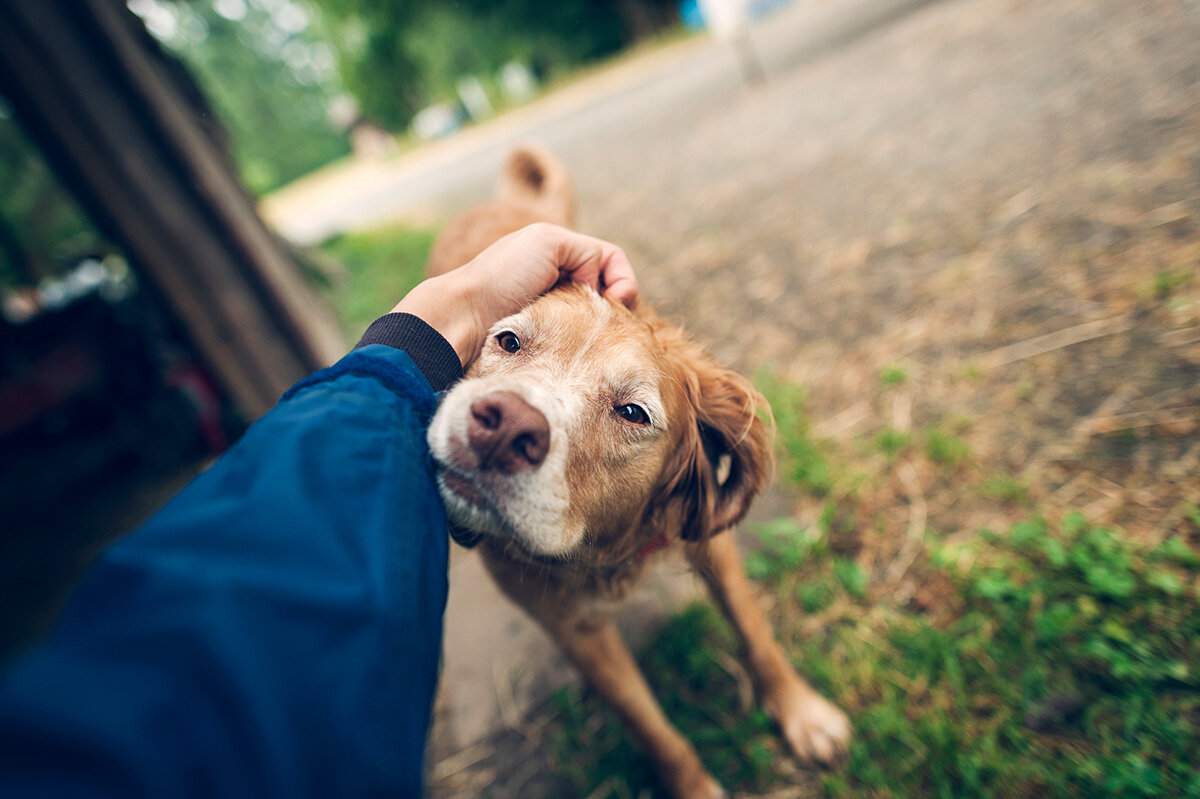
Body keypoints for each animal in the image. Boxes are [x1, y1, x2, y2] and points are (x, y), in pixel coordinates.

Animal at [427, 146, 849, 791]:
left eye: (632, 412)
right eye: (508, 341)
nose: (501, 427)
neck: (610, 548)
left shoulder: (709, 539)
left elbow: (755, 631)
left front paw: (803, 713)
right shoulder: (575, 630)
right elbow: (652, 726)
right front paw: (695, 787)